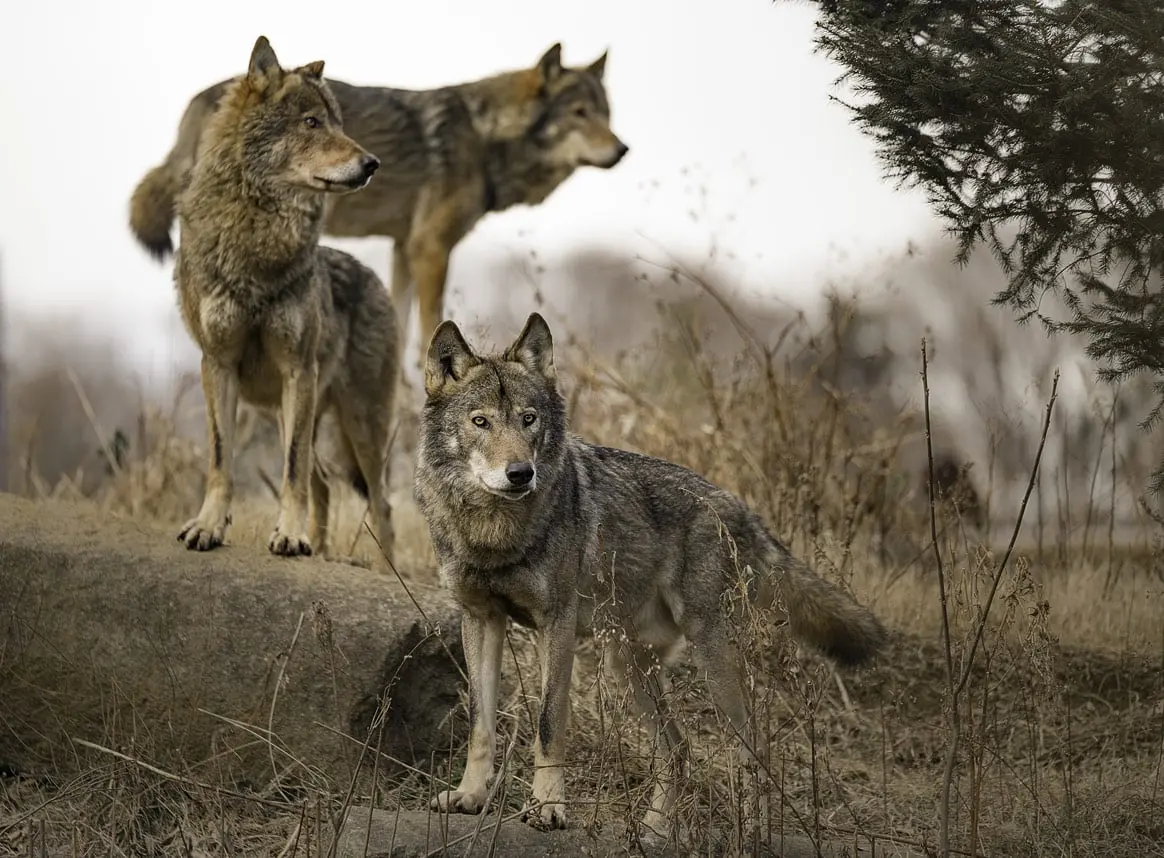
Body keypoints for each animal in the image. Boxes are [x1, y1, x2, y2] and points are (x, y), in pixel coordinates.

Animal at [128, 44, 627, 363]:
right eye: (579, 114)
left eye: (606, 115)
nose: (622, 149)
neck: (485, 136)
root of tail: (197, 103)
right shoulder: (431, 248)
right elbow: (428, 330)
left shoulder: (403, 248)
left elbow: (401, 327)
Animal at [172, 35, 399, 567]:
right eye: (311, 122)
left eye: (339, 122)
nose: (372, 164)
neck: (257, 236)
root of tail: (374, 278)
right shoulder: (218, 364)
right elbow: (221, 458)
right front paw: (208, 526)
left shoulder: (298, 369)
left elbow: (290, 471)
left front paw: (290, 536)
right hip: (289, 413)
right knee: (325, 486)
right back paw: (320, 550)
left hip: (358, 424)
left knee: (380, 503)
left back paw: (385, 570)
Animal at [414, 313, 889, 838]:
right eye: (480, 422)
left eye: (528, 419)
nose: (521, 473)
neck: (494, 533)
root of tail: (741, 510)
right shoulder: (481, 619)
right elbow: (481, 723)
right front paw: (469, 797)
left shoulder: (555, 625)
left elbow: (548, 723)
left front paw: (548, 807)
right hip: (628, 666)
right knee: (677, 749)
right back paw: (657, 833)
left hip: (709, 658)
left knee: (752, 747)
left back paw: (750, 831)